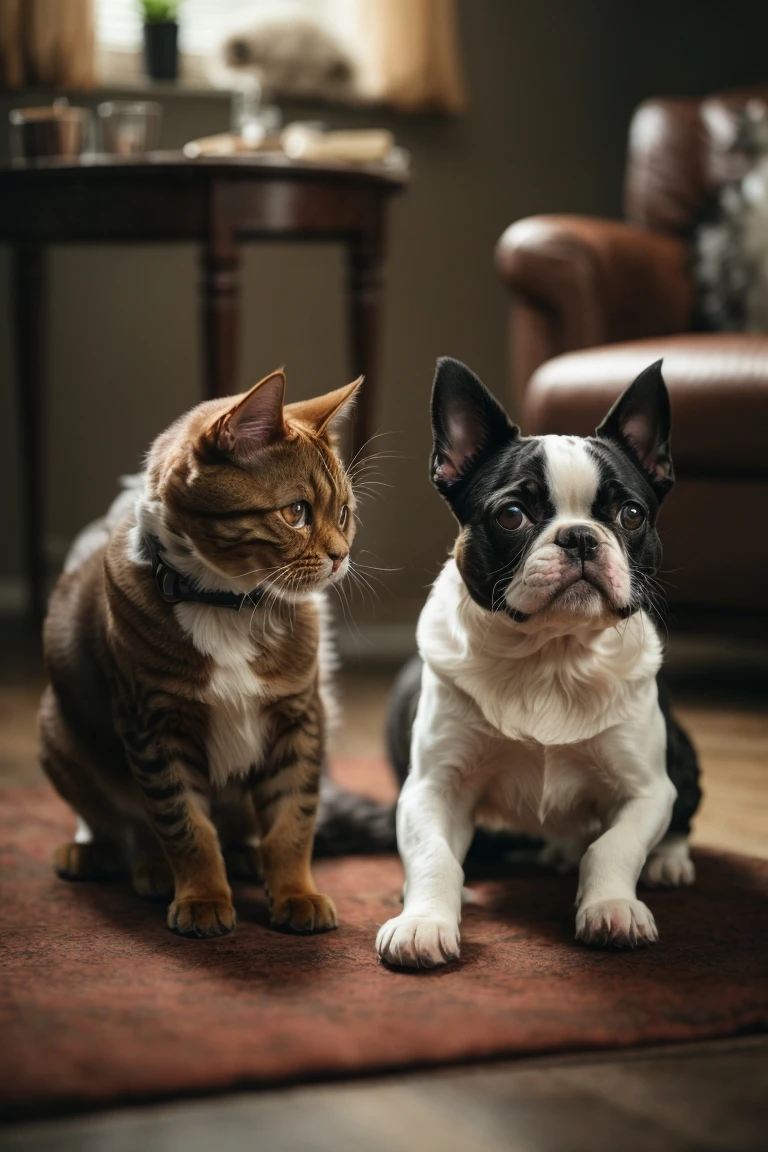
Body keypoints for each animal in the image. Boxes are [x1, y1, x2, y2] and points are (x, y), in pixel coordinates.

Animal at [41, 368, 363, 935]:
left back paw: (245, 856)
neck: (228, 603)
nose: (341, 557)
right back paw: (121, 858)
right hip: (58, 733)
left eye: (343, 513)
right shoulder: (154, 724)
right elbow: (184, 823)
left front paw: (296, 891)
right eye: (296, 513)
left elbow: (292, 818)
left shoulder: (301, 715)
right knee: (120, 822)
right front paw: (202, 896)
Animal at [377, 354, 704, 967]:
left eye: (631, 514)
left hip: (682, 756)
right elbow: (434, 857)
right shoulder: (432, 789)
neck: (552, 655)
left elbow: (613, 847)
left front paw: (612, 908)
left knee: (678, 813)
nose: (579, 537)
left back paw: (668, 861)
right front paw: (422, 921)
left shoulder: (646, 789)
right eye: (511, 515)